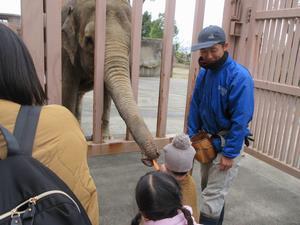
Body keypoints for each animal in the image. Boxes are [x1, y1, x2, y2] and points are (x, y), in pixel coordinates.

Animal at [61, 0, 159, 160]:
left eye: (131, 43)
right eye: (89, 40)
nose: (150, 156)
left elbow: (106, 94)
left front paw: (106, 139)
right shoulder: (64, 51)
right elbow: (68, 88)